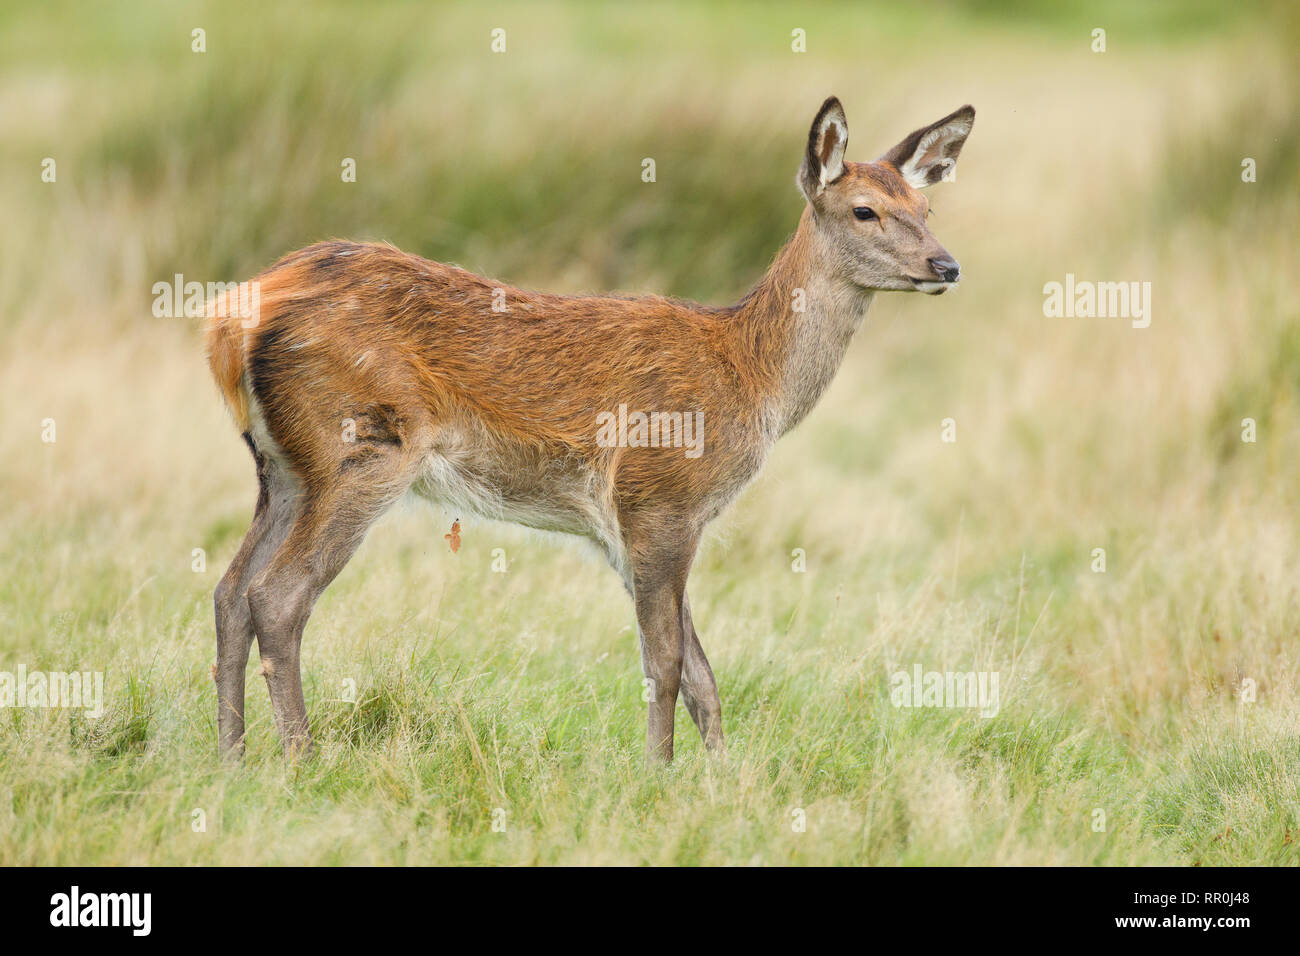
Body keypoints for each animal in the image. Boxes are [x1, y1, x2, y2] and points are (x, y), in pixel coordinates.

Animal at [205, 97, 977, 764]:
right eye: (865, 210)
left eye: (928, 208)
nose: (946, 265)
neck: (750, 378)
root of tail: (232, 321)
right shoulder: (659, 497)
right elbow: (666, 662)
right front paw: (659, 773)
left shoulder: (626, 526)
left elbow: (702, 675)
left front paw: (723, 779)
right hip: (360, 448)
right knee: (277, 596)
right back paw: (302, 759)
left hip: (283, 469)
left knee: (229, 590)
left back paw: (233, 759)